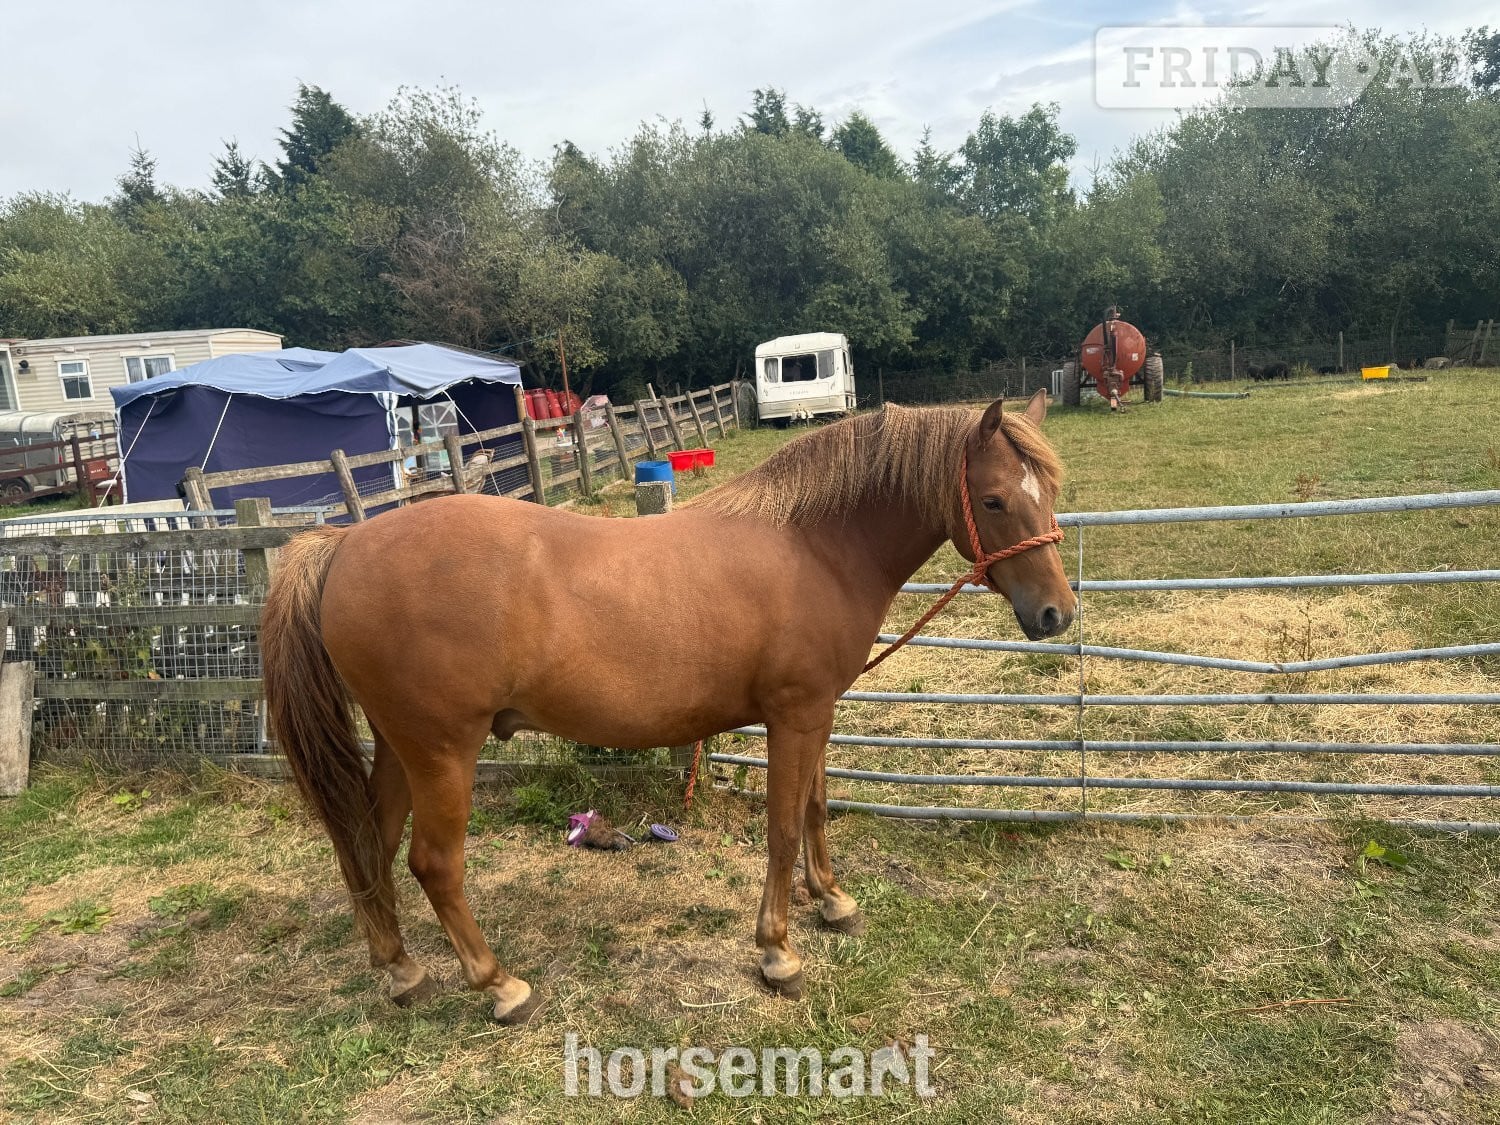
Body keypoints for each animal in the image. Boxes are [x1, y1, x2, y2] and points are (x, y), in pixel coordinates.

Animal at [260, 390, 1075, 1022]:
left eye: (1052, 493)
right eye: (995, 500)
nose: (1056, 614)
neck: (814, 545)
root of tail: (344, 545)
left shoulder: (817, 713)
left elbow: (815, 808)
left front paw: (833, 902)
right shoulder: (793, 715)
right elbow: (782, 827)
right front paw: (777, 951)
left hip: (401, 748)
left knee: (366, 843)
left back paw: (401, 969)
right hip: (443, 751)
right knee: (434, 863)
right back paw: (499, 985)